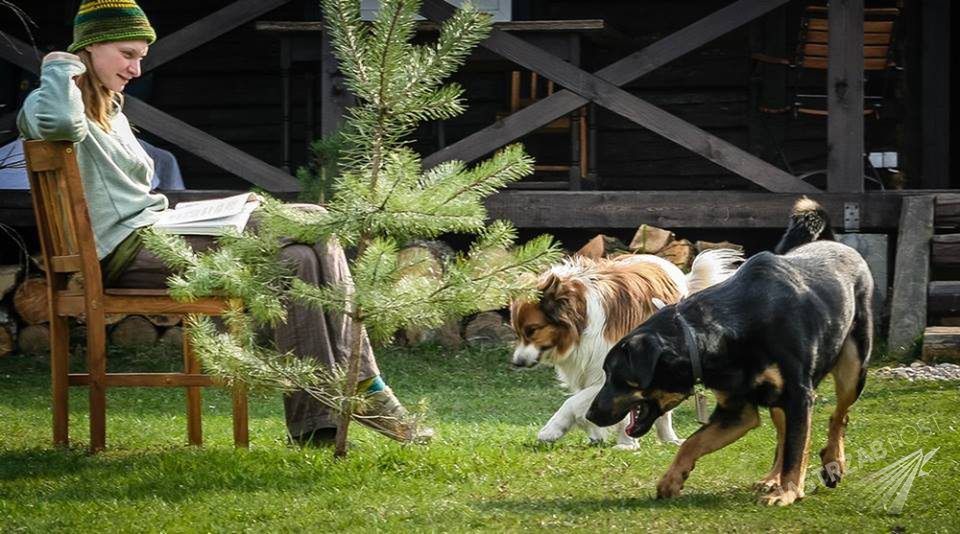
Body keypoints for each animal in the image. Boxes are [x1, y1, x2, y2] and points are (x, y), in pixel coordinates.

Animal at [510, 249, 744, 450]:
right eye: (518, 333)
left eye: (532, 330)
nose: (517, 362)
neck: (582, 320)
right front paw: (596, 433)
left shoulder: (610, 376)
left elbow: (573, 402)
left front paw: (551, 430)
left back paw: (653, 440)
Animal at [580, 199, 872, 508]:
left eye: (619, 377)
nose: (590, 414)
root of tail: (834, 242)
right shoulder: (737, 411)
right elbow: (692, 442)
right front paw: (672, 479)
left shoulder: (798, 397)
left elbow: (797, 450)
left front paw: (788, 492)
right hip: (780, 401)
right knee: (784, 436)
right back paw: (772, 478)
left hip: (853, 368)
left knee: (839, 416)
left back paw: (832, 463)